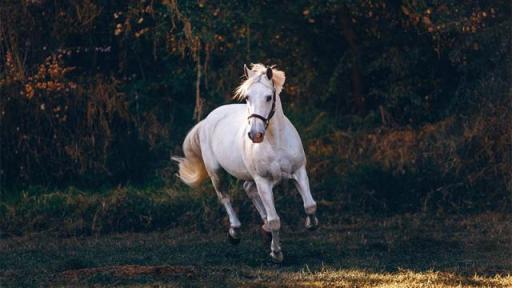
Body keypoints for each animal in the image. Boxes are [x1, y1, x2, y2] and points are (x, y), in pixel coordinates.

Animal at [174, 63, 318, 264]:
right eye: (247, 97)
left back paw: (264, 229)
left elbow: (310, 205)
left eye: (269, 97)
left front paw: (310, 224)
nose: (255, 135)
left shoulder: (299, 171)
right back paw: (235, 233)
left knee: (248, 188)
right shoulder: (263, 180)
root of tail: (208, 119)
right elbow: (275, 220)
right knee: (225, 197)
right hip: (216, 173)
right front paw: (276, 253)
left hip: (250, 176)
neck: (275, 141)